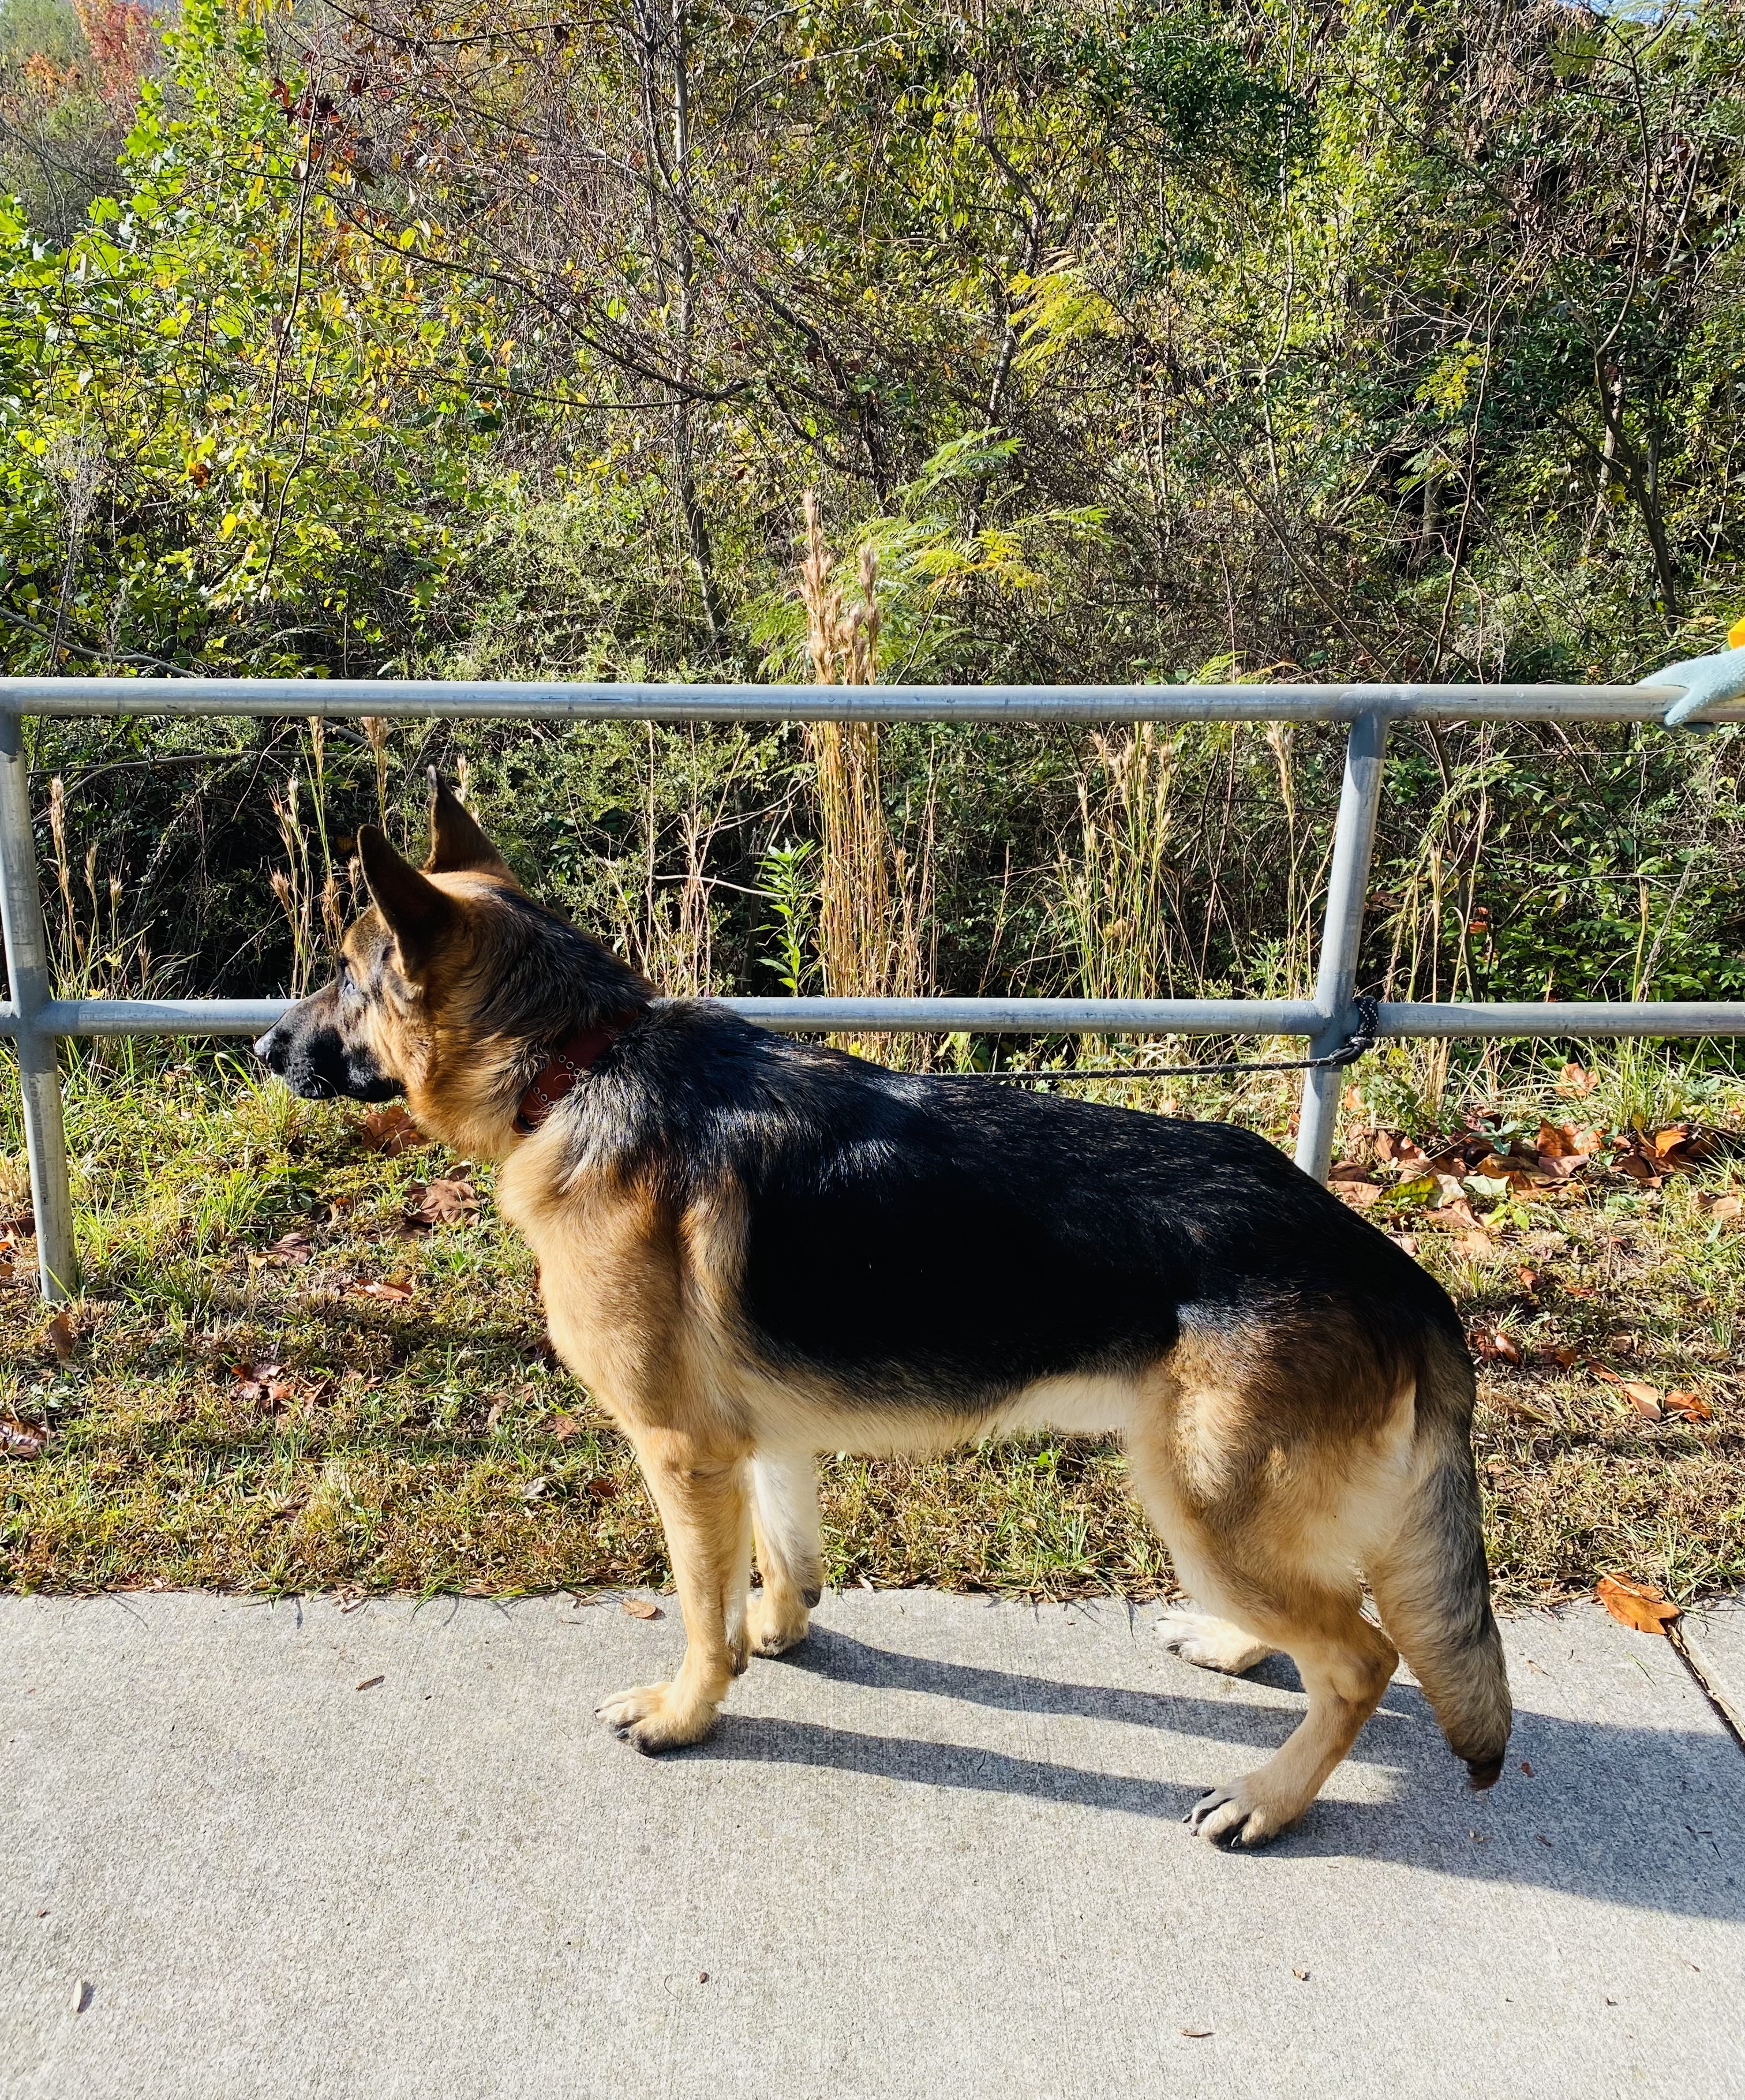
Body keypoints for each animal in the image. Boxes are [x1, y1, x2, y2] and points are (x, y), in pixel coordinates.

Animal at [259, 772, 1512, 1839]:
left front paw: (687, 1709)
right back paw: (1234, 1649)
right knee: (1324, 1620)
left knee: (1361, 1657)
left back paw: (1268, 1797)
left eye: (346, 975)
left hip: (1200, 1499)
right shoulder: (751, 1440)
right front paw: (779, 1628)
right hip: (1220, 1508)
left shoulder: (680, 1452)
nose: (266, 1042)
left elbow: (699, 1609)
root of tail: (1387, 1265)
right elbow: (780, 1550)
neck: (576, 1060)